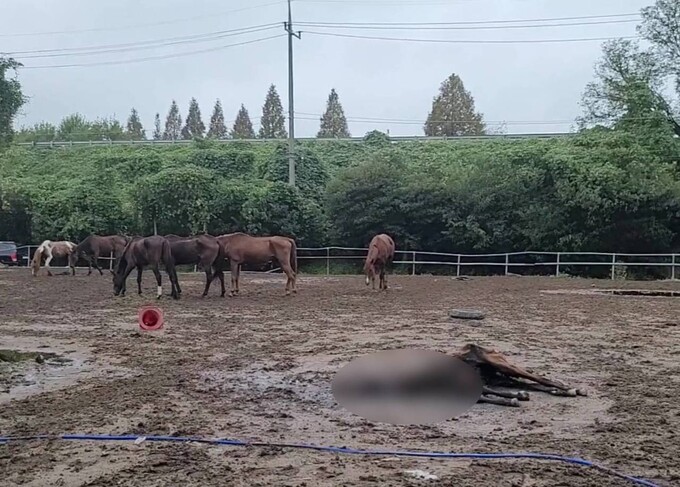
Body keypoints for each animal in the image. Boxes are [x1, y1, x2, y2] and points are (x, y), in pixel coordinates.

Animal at [452, 346, 588, 410]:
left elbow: (483, 395)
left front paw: (512, 400)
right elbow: (482, 396)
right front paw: (515, 398)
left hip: (505, 366)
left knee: (538, 378)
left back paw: (570, 389)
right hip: (498, 378)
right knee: (528, 384)